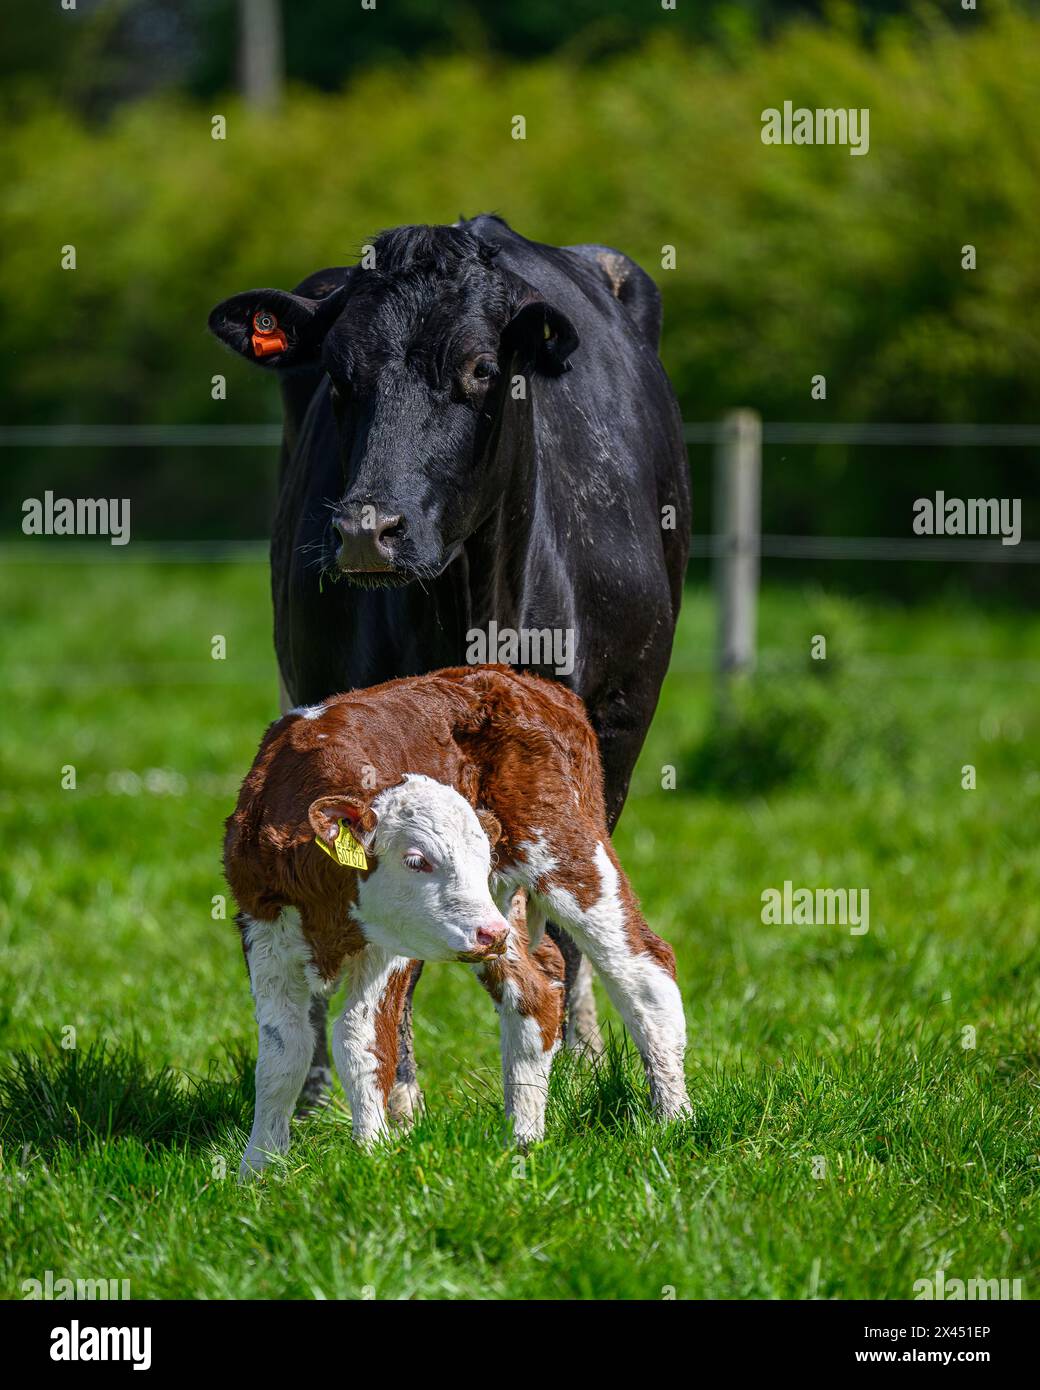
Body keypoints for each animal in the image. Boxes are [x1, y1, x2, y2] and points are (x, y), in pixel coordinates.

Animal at [208, 214, 690, 1122]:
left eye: (479, 369)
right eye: (338, 377)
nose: (367, 529)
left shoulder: (614, 728)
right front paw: (380, 1095)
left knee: (579, 936)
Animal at [225, 665, 691, 1175]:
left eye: (480, 858)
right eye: (415, 860)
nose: (491, 932)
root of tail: (527, 682)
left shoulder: (392, 946)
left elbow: (360, 1042)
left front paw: (371, 1153)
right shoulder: (262, 928)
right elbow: (283, 1054)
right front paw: (260, 1167)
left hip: (569, 850)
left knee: (644, 971)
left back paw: (674, 1120)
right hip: (499, 908)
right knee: (535, 993)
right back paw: (524, 1136)